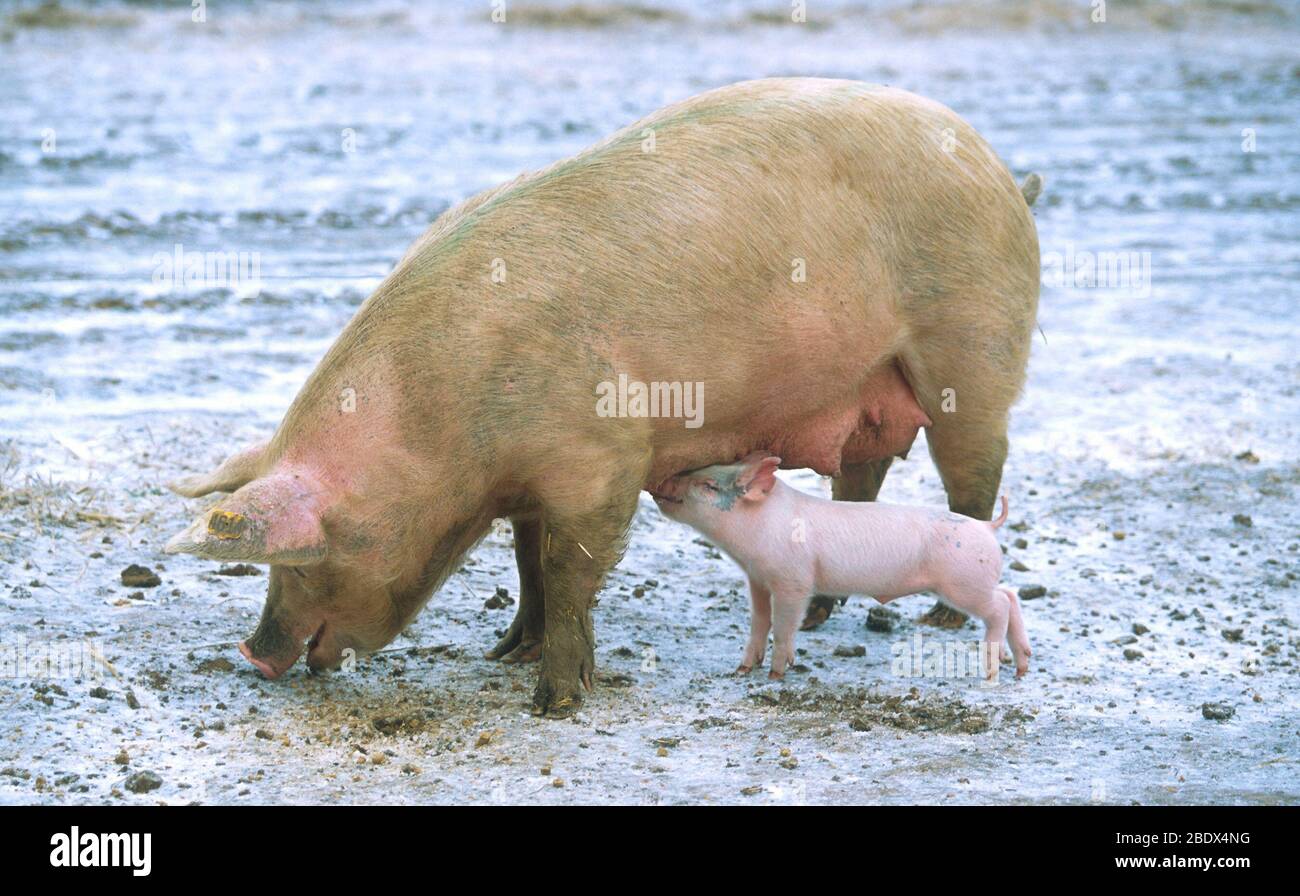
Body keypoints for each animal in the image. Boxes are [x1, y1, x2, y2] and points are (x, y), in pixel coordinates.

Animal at [165, 78, 1034, 717]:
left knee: (975, 469)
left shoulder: (599, 456)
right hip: (867, 388)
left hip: (975, 349)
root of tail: (1004, 172)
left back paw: (939, 617)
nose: (252, 654)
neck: (446, 432)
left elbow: (569, 565)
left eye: (314, 556)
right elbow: (527, 559)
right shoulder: (526, 483)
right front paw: (504, 651)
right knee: (863, 473)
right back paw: (821, 615)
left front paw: (552, 700)